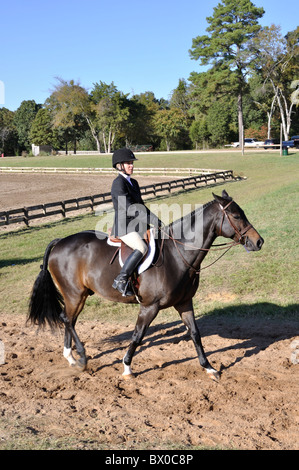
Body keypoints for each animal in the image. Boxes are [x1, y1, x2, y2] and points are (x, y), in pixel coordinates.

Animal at [27, 189, 262, 380]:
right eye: (236, 216)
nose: (258, 241)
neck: (177, 255)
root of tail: (60, 241)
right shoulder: (150, 307)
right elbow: (138, 335)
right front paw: (127, 368)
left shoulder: (185, 302)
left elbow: (195, 334)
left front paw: (209, 368)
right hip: (74, 294)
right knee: (67, 319)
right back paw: (82, 358)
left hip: (79, 295)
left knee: (69, 320)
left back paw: (71, 358)